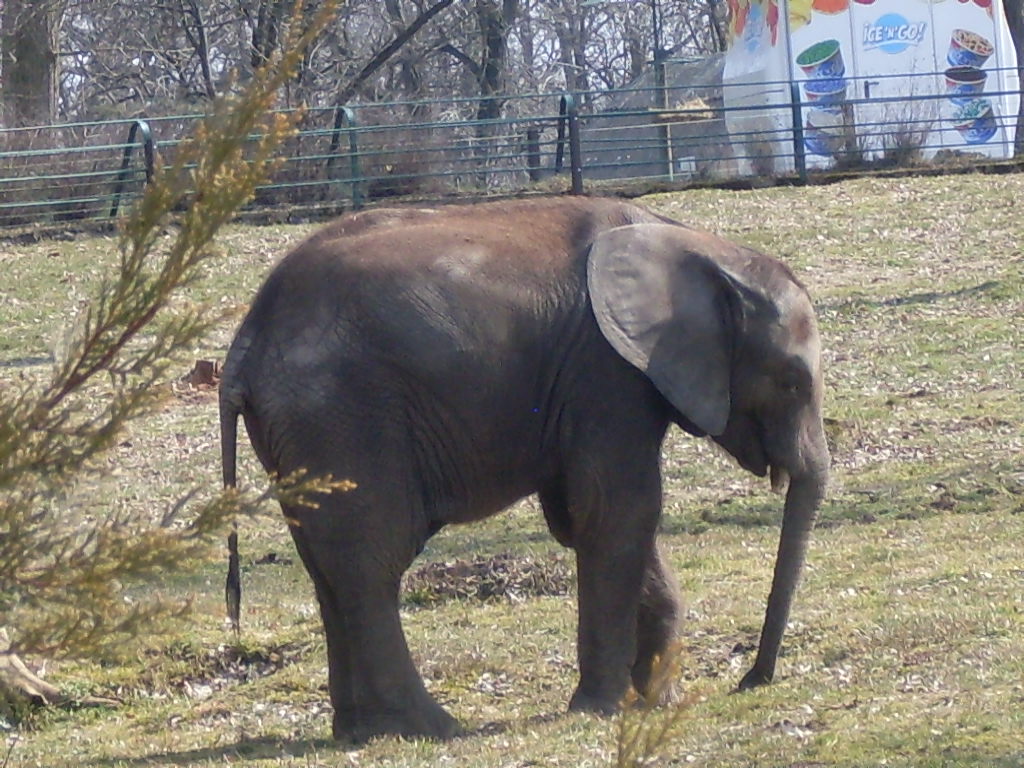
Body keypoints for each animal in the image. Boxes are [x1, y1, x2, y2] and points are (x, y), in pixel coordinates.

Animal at [219, 196, 829, 743]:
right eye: (792, 382)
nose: (749, 681)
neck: (693, 243)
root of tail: (245, 343)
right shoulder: (605, 372)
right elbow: (619, 510)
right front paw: (603, 709)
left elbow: (585, 518)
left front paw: (657, 699)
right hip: (342, 415)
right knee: (371, 561)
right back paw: (432, 728)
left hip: (303, 432)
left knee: (327, 567)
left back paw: (360, 733)